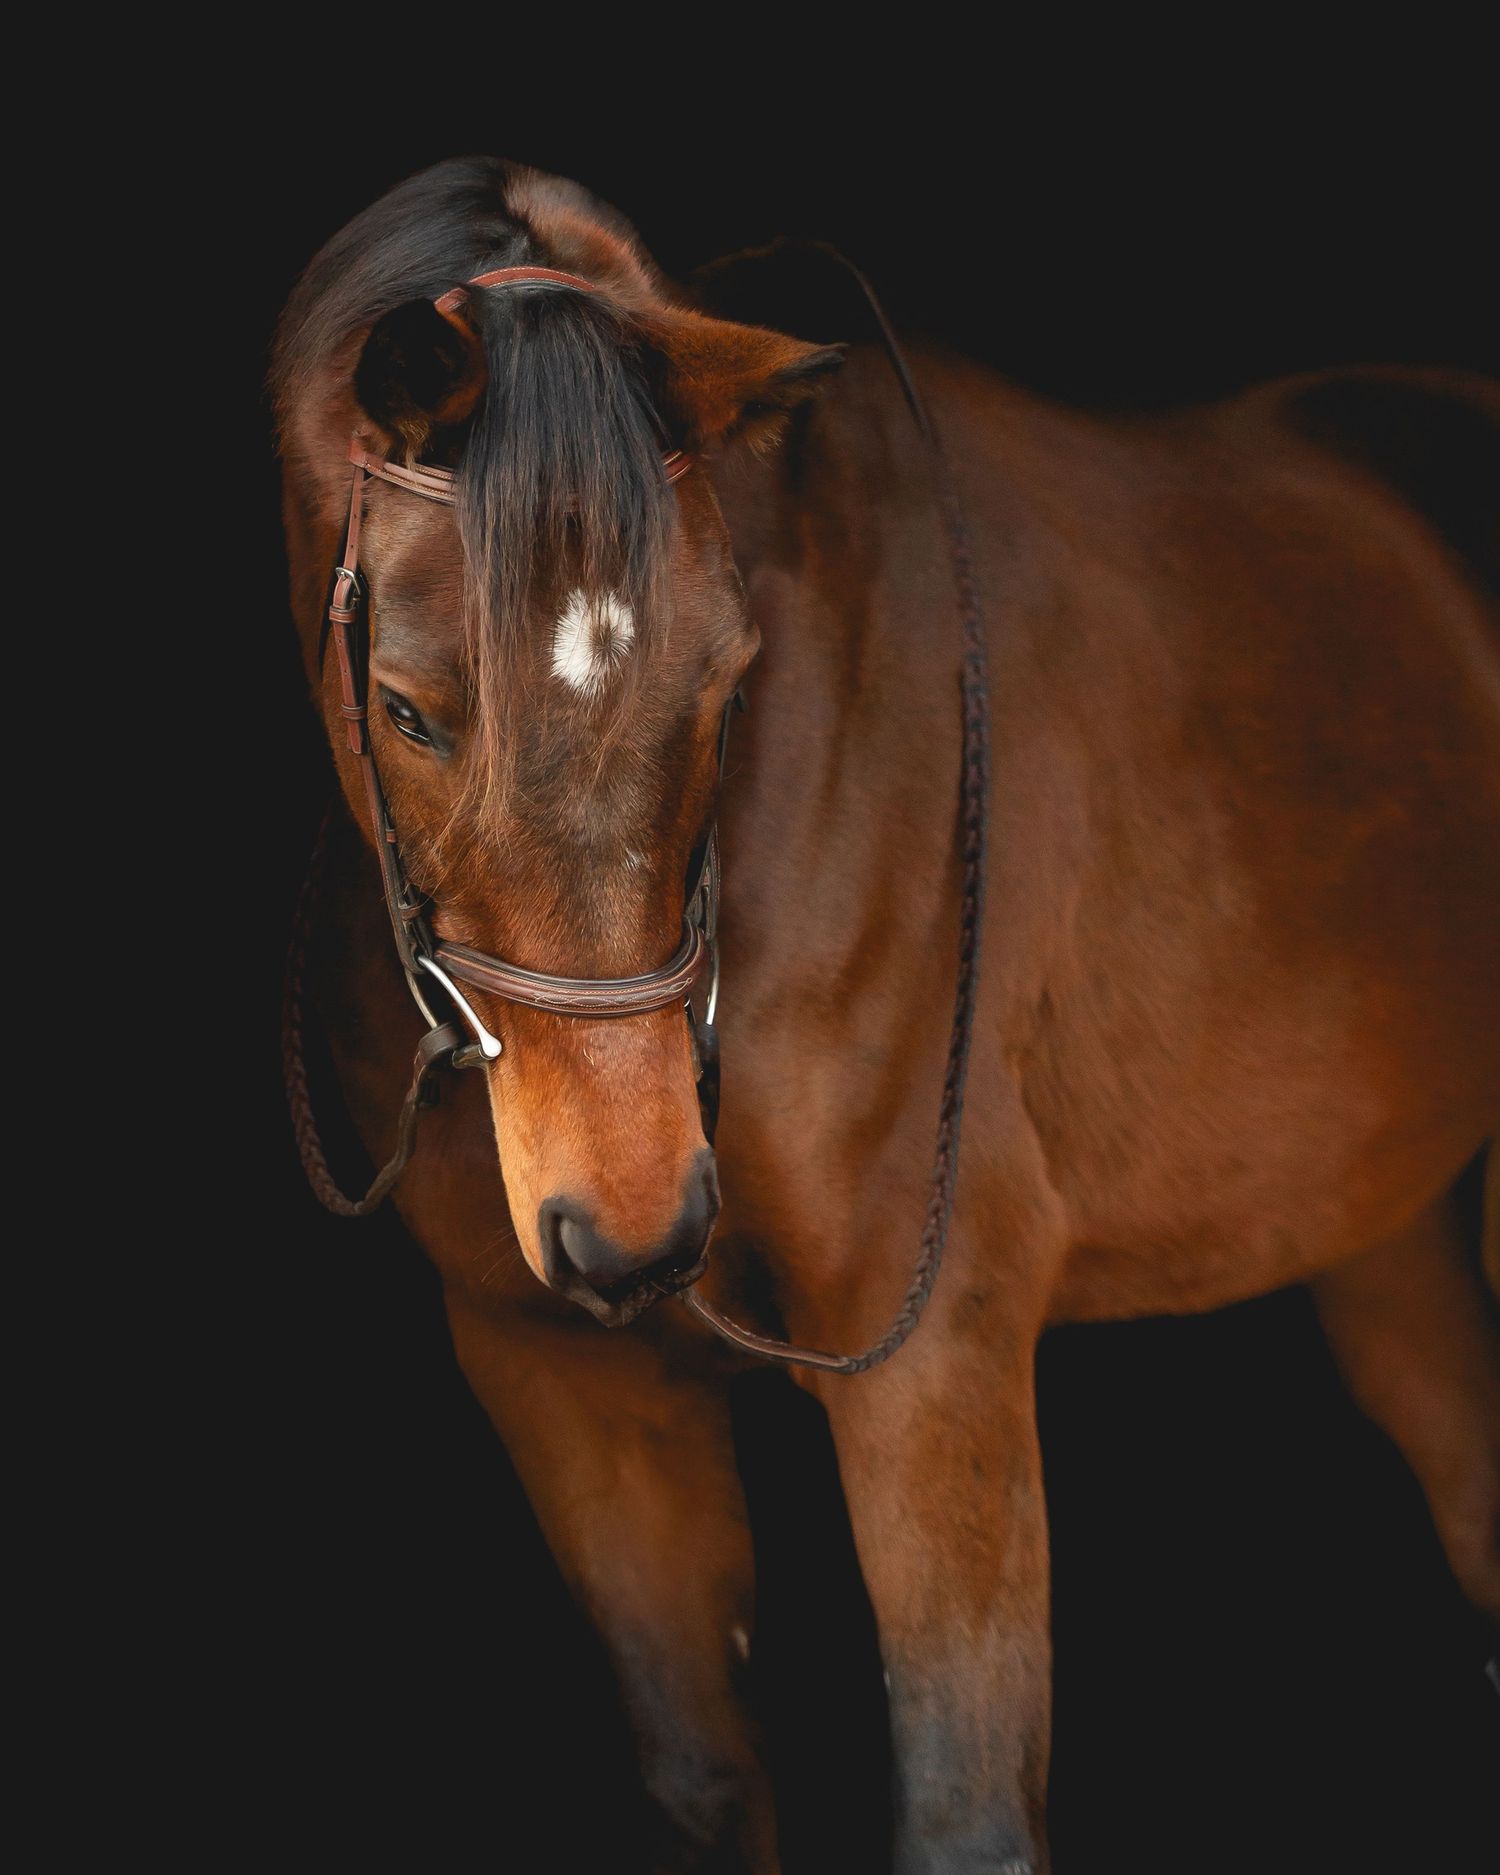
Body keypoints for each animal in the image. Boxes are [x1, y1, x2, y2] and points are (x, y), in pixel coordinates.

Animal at [273, 156, 1500, 1874]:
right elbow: (705, 1781)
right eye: (407, 708)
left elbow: (966, 1808)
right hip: (1388, 1232)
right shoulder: (560, 1378)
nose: (640, 1228)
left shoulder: (934, 1366)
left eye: (726, 680)